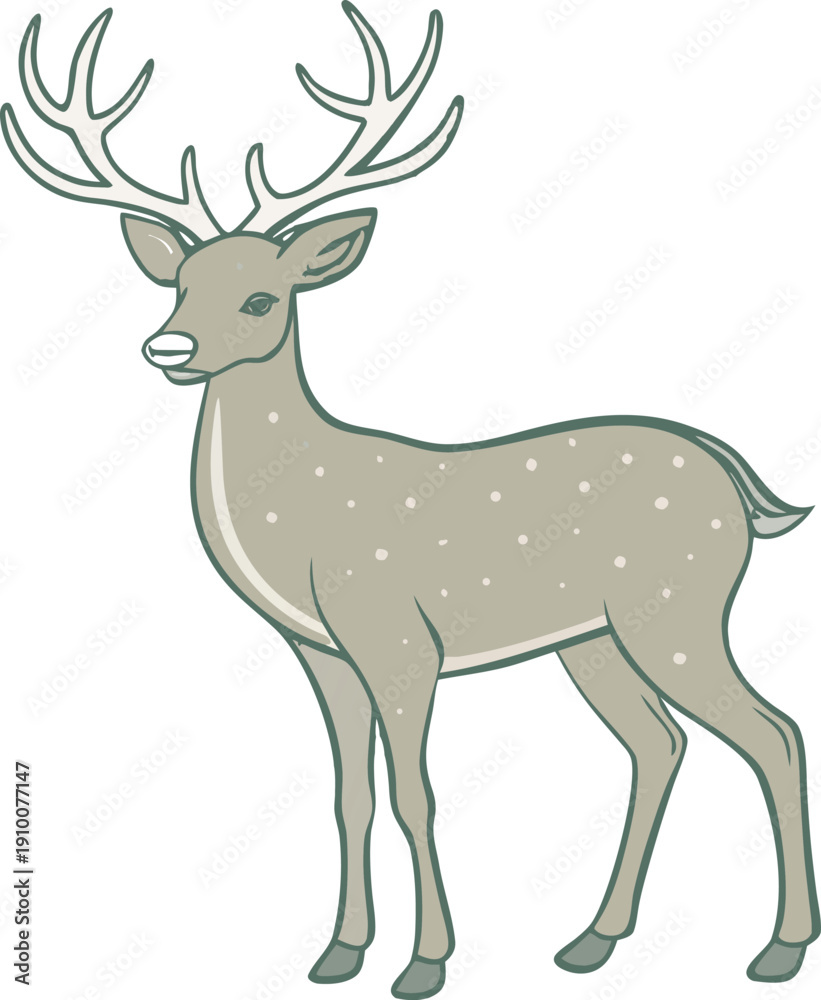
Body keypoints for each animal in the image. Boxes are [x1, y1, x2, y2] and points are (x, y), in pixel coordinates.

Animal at [3, 5, 818, 996]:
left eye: (261, 298)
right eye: (180, 284)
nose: (168, 348)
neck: (300, 515)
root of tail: (732, 476)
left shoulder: (397, 636)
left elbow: (412, 793)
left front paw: (424, 963)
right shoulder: (321, 651)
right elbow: (349, 795)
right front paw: (337, 952)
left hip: (678, 605)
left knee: (774, 732)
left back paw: (777, 950)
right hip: (591, 637)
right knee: (658, 744)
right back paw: (591, 941)